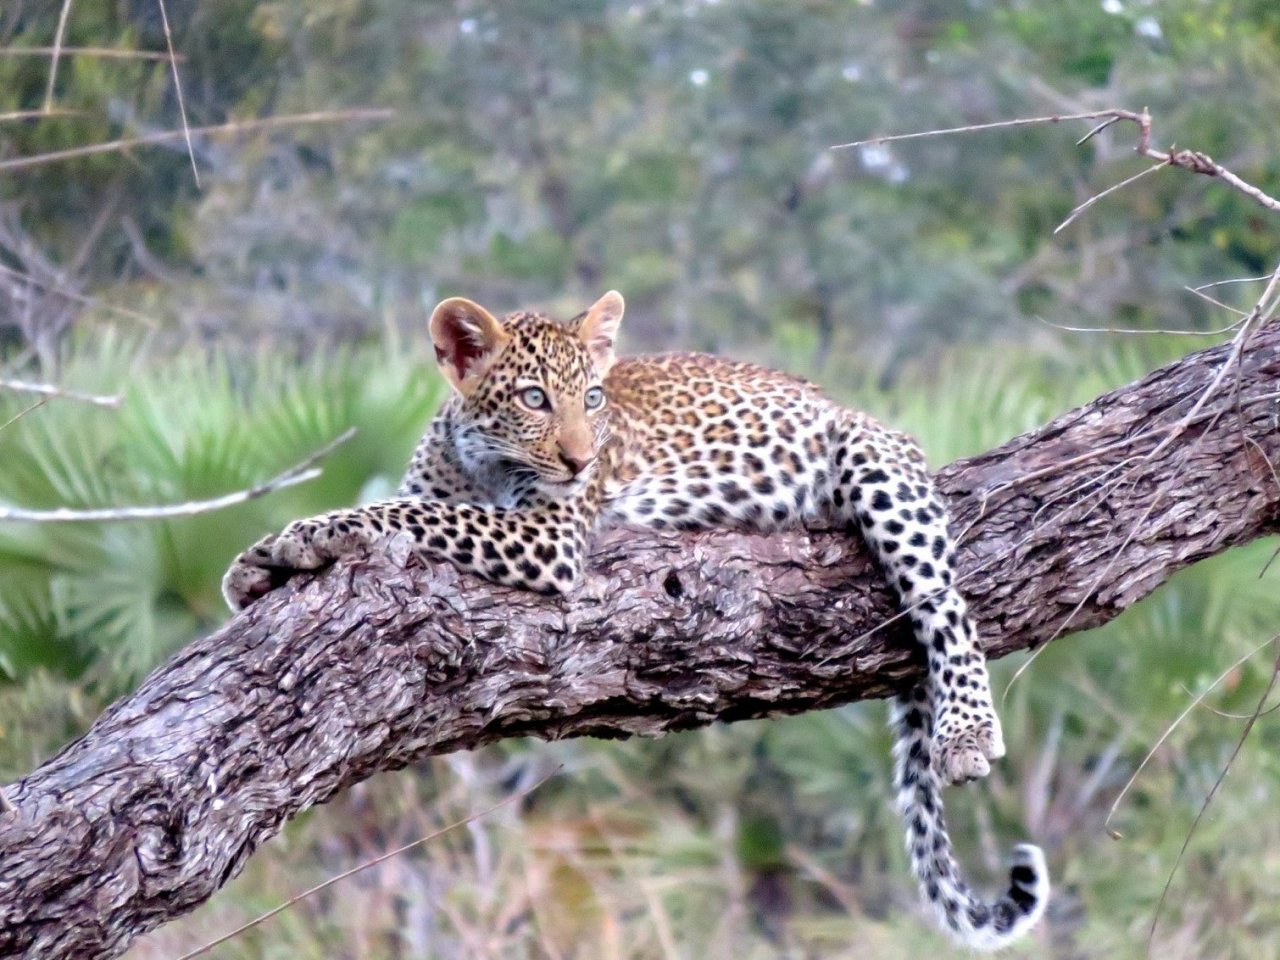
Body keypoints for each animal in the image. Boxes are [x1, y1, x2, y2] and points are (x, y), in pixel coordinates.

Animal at [225, 289, 1049, 952]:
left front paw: (305, 534)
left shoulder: (548, 535)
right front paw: (256, 565)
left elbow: (414, 513)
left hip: (875, 463)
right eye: (533, 399)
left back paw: (968, 732)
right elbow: (415, 504)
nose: (581, 461)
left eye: (592, 399)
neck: (480, 463)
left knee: (946, 604)